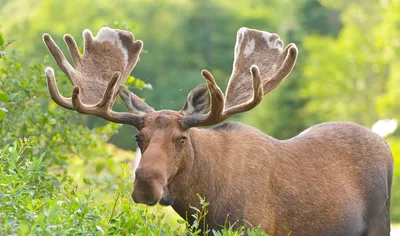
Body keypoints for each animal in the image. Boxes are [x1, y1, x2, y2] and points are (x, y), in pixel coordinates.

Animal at [42, 26, 392, 235]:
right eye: (138, 138)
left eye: (182, 139)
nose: (145, 184)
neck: (202, 200)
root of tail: (385, 146)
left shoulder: (254, 227)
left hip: (380, 223)